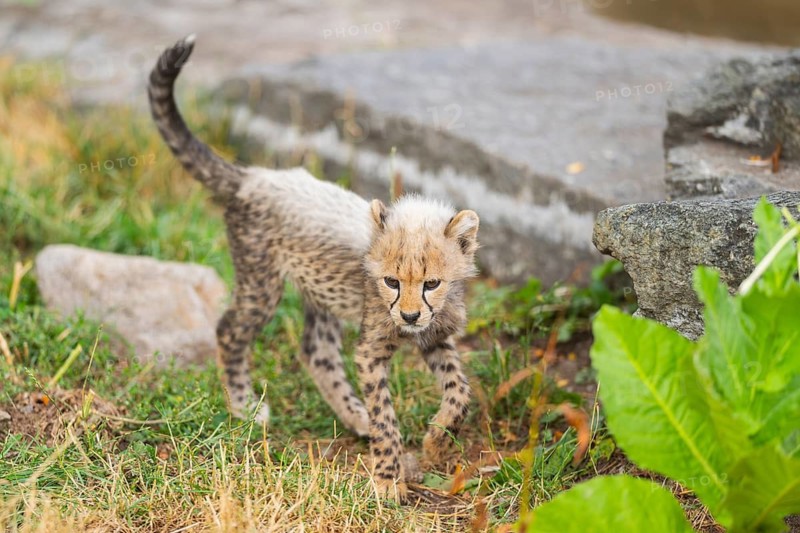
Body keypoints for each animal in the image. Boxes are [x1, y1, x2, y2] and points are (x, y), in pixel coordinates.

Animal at [148, 35, 479, 500]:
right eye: (391, 281)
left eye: (432, 283)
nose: (411, 315)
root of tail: (254, 176)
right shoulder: (372, 350)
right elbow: (386, 415)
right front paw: (387, 477)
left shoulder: (436, 337)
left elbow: (459, 392)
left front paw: (436, 439)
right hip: (262, 281)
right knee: (230, 329)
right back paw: (244, 406)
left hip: (318, 289)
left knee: (316, 351)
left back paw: (354, 415)